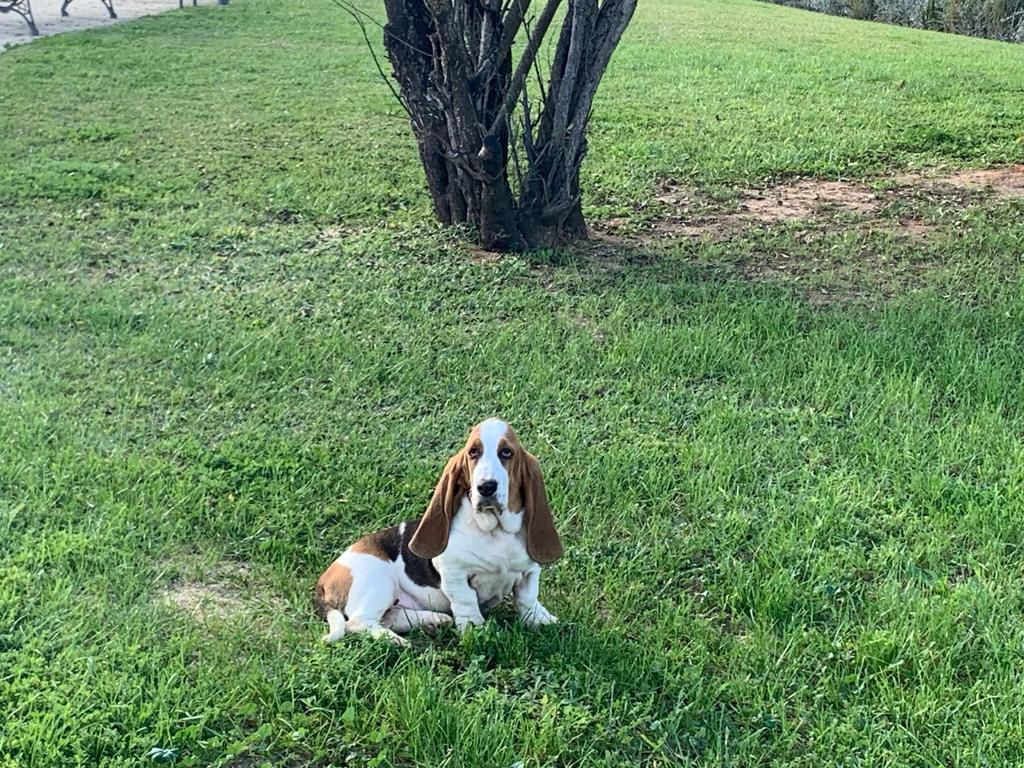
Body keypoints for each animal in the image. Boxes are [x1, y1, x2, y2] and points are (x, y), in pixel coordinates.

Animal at [315, 417, 565, 647]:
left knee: (390, 616)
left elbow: (527, 597)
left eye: (507, 452)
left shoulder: (529, 571)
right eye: (473, 453)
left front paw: (541, 620)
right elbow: (466, 600)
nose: (486, 487)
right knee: (357, 623)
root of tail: (324, 578)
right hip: (378, 580)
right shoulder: (454, 574)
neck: (496, 531)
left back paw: (433, 621)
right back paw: (396, 640)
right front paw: (476, 630)